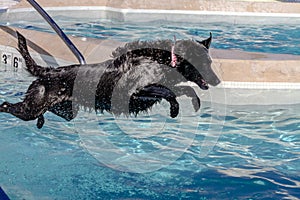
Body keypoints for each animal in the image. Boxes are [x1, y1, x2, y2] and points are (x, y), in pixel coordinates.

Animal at [0, 31, 220, 128]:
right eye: (205, 63)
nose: (217, 81)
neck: (165, 59)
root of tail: (47, 72)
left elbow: (183, 89)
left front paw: (193, 103)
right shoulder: (136, 92)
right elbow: (169, 91)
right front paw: (175, 108)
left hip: (67, 111)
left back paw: (41, 121)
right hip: (31, 108)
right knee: (6, 105)